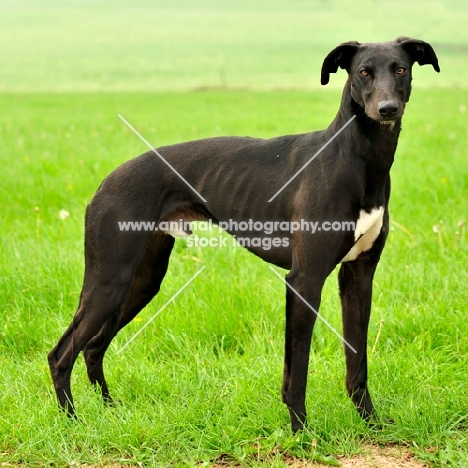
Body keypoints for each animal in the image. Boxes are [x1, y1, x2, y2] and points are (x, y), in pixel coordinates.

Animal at [49, 37, 440, 432]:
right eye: (363, 72)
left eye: (400, 68)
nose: (387, 109)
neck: (355, 159)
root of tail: (106, 181)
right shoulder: (304, 279)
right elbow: (296, 372)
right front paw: (302, 433)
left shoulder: (358, 276)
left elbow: (356, 363)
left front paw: (371, 423)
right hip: (109, 279)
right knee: (61, 352)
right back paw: (72, 421)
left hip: (142, 279)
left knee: (93, 346)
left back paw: (110, 411)